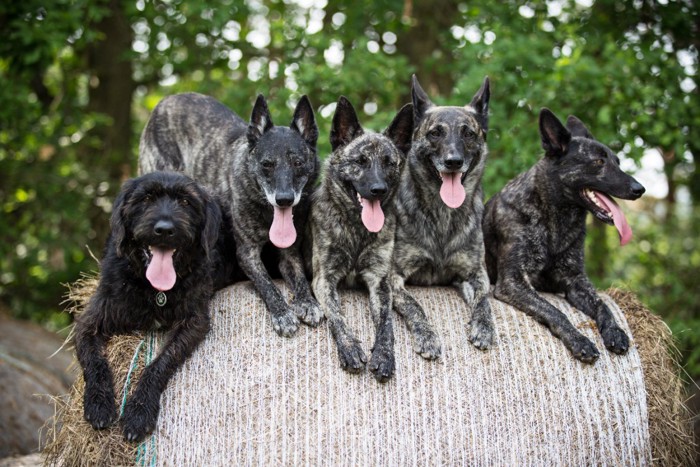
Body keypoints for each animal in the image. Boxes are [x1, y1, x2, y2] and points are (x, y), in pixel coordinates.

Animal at [73, 171, 238, 442]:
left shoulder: (193, 322)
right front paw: (99, 403)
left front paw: (139, 412)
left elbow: (160, 364)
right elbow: (94, 361)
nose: (164, 230)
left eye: (185, 202)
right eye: (146, 198)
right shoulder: (89, 322)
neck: (155, 291)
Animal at [140, 93, 326, 338]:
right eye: (267, 164)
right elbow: (267, 284)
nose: (284, 199)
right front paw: (283, 314)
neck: (268, 213)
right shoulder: (247, 253)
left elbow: (301, 278)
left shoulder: (289, 253)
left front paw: (308, 303)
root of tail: (166, 100)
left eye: (298, 163)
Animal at [308, 97, 416, 382]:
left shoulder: (379, 281)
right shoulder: (324, 279)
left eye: (390, 163)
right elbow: (337, 316)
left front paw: (384, 356)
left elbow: (387, 324)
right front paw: (349, 348)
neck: (356, 228)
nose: (379, 190)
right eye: (360, 160)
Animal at [486, 109, 644, 362]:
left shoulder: (575, 280)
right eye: (598, 162)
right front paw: (579, 340)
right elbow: (554, 310)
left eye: (618, 162)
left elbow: (603, 305)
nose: (640, 189)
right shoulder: (513, 281)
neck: (557, 221)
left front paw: (615, 332)